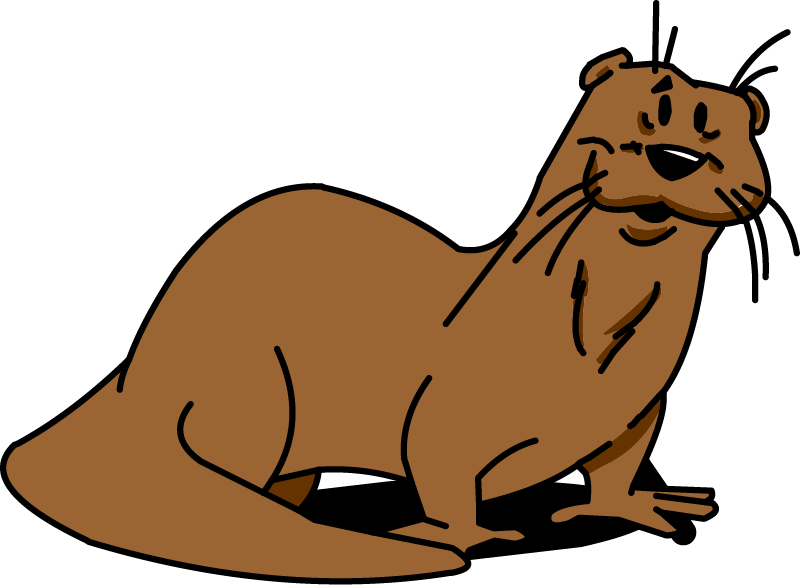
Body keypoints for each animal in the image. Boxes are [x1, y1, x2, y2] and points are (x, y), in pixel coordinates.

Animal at [2, 9, 797, 584]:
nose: (676, 156)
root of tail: (137, 370)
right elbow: (440, 468)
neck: (591, 342)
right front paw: (463, 534)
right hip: (248, 390)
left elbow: (618, 465)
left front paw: (643, 502)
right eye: (651, 109)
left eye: (726, 128)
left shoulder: (640, 407)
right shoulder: (452, 405)